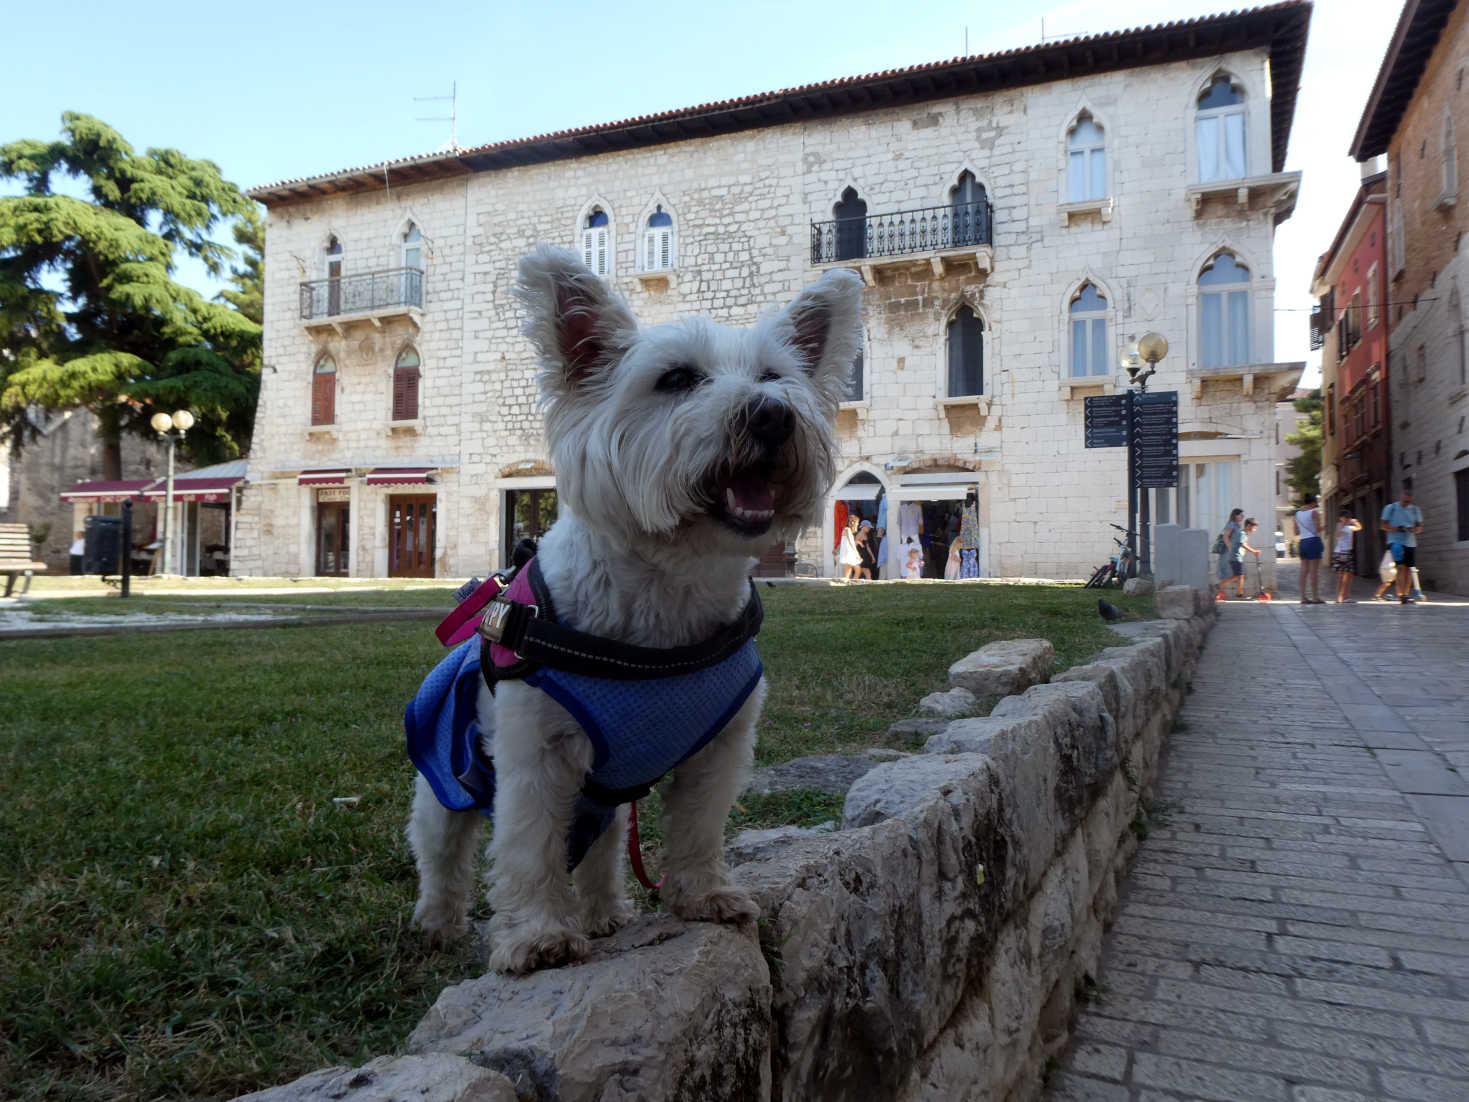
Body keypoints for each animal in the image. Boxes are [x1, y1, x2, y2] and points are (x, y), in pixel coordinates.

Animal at [402, 249, 857, 975]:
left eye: (774, 378)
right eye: (675, 379)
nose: (771, 415)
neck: (668, 590)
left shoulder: (720, 748)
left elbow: (698, 828)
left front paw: (704, 895)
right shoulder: (535, 757)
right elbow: (529, 845)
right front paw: (537, 936)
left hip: (607, 799)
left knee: (601, 851)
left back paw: (606, 913)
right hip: (446, 775)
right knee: (442, 849)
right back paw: (439, 924)